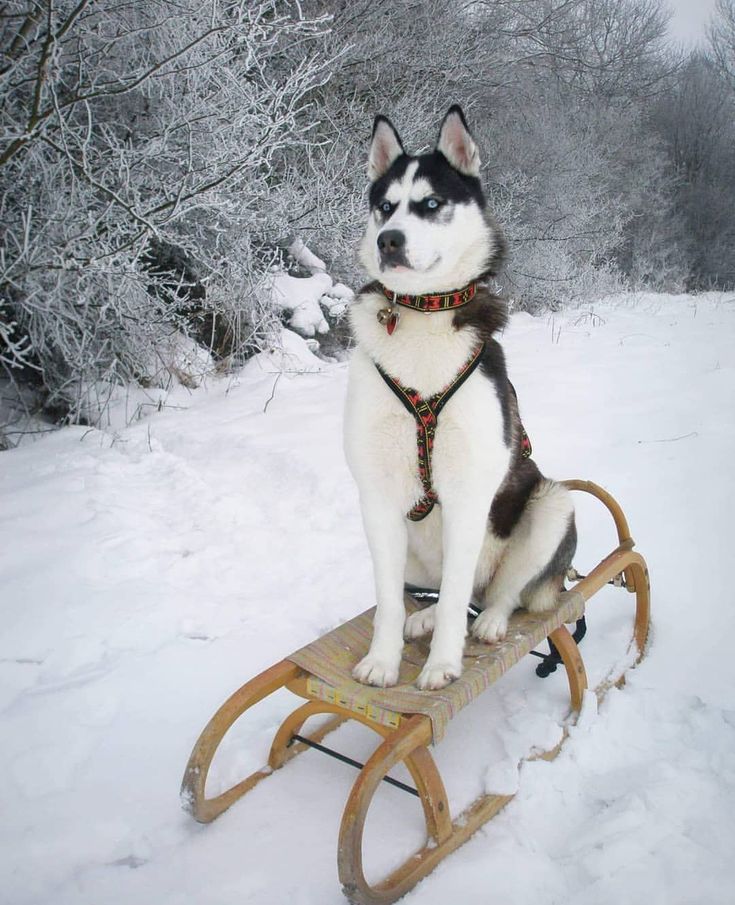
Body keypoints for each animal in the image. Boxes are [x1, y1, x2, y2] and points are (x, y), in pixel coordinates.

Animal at [342, 104, 576, 692]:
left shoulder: (471, 491)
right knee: (445, 590)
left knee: (495, 593)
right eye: (385, 206)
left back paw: (489, 621)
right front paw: (383, 660)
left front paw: (443, 664)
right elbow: (387, 600)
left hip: (553, 502)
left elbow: (456, 599)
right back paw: (420, 617)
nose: (389, 240)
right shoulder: (376, 496)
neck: (423, 313)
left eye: (430, 204)